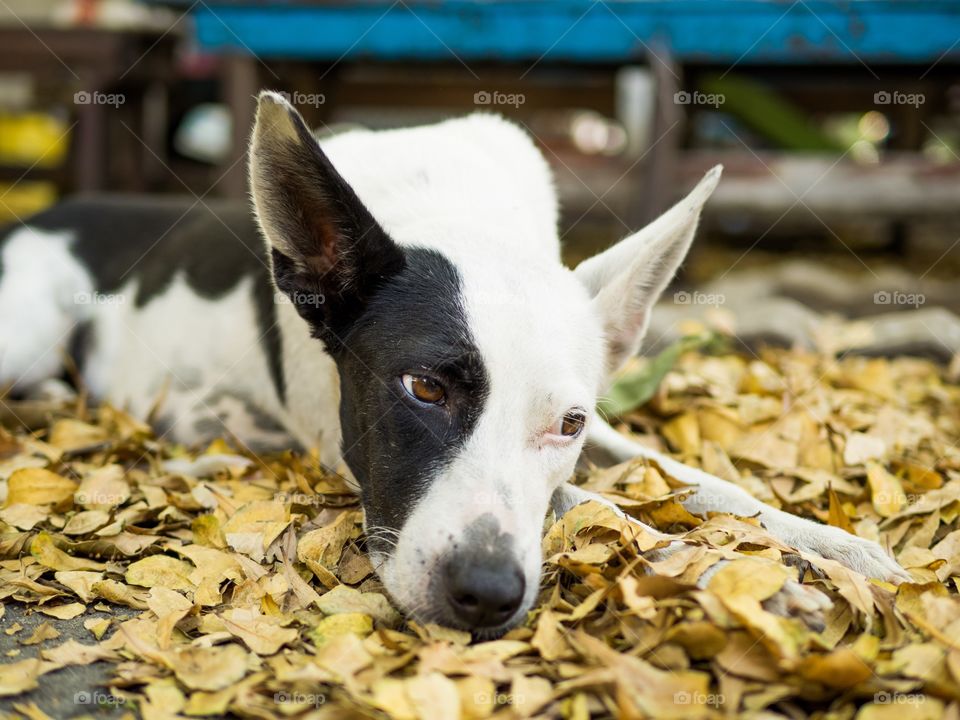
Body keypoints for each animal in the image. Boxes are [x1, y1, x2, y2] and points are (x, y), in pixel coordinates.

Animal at [0, 91, 904, 636]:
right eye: (424, 387)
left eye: (568, 422)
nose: (486, 595)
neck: (461, 215)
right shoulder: (348, 450)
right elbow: (597, 507)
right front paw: (734, 572)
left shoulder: (603, 431)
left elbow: (699, 481)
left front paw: (833, 548)